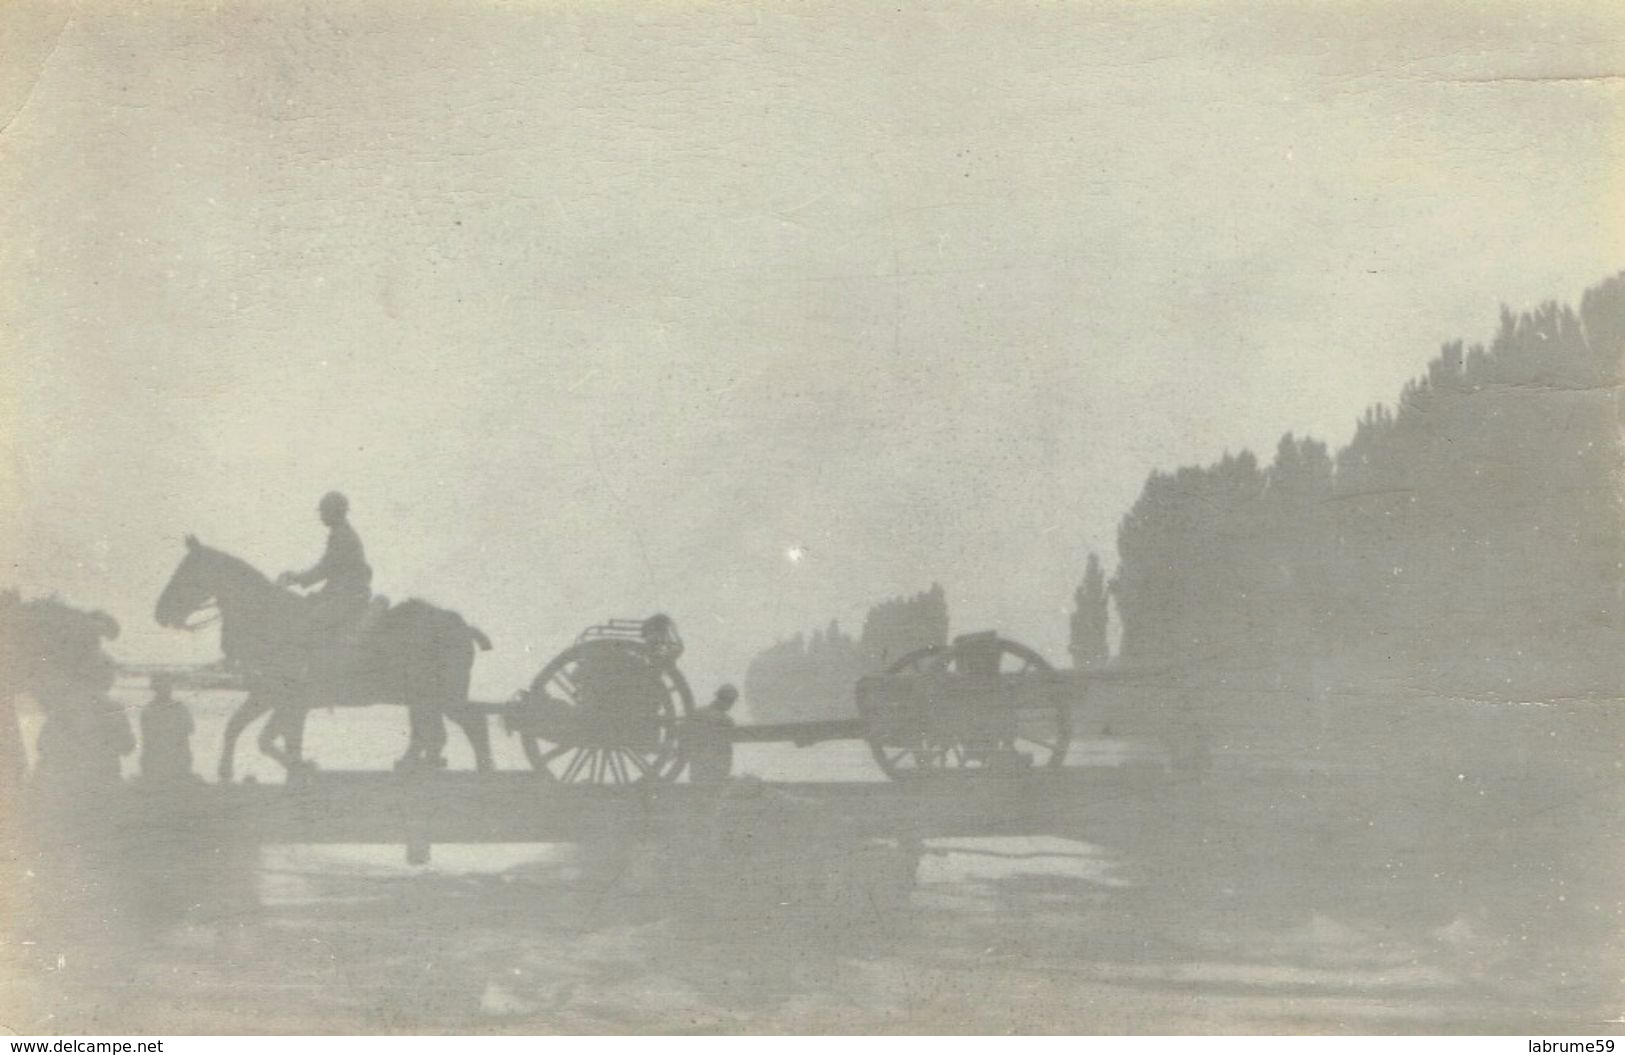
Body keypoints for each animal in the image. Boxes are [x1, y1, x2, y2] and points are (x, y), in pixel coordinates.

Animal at [155, 539, 490, 777]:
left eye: (186, 572)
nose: (160, 612)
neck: (271, 620)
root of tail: (461, 626)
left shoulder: (286, 699)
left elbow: (273, 739)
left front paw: (300, 766)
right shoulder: (268, 695)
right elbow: (241, 727)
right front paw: (227, 771)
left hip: (444, 697)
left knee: (470, 725)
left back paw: (482, 769)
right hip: (424, 700)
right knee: (432, 736)